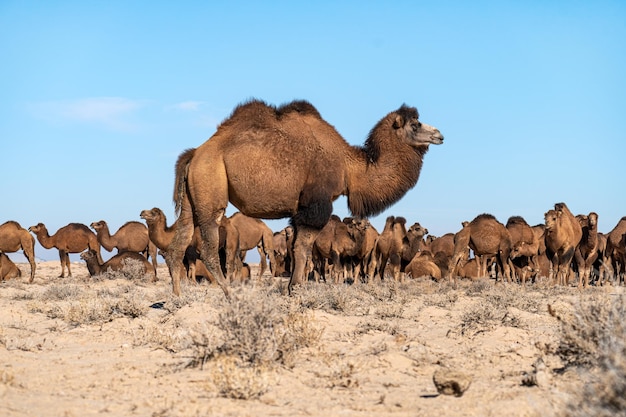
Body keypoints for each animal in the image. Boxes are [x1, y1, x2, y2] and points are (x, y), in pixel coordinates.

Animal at [163, 98, 442, 294]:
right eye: (415, 124)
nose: (439, 135)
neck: (349, 166)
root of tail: (195, 154)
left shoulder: (299, 211)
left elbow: (298, 247)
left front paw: (291, 288)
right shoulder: (315, 204)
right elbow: (302, 249)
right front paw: (296, 289)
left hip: (193, 196)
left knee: (180, 241)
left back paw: (177, 296)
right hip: (211, 185)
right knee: (210, 247)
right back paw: (228, 294)